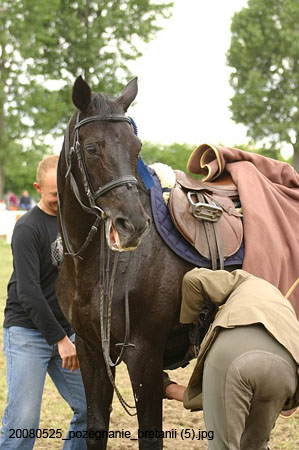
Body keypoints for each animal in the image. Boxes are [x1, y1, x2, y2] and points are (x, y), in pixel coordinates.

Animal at [55, 75, 241, 448]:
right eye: (92, 148)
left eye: (136, 147)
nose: (134, 224)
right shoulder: (91, 352)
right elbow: (96, 427)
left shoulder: (145, 357)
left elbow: (150, 436)